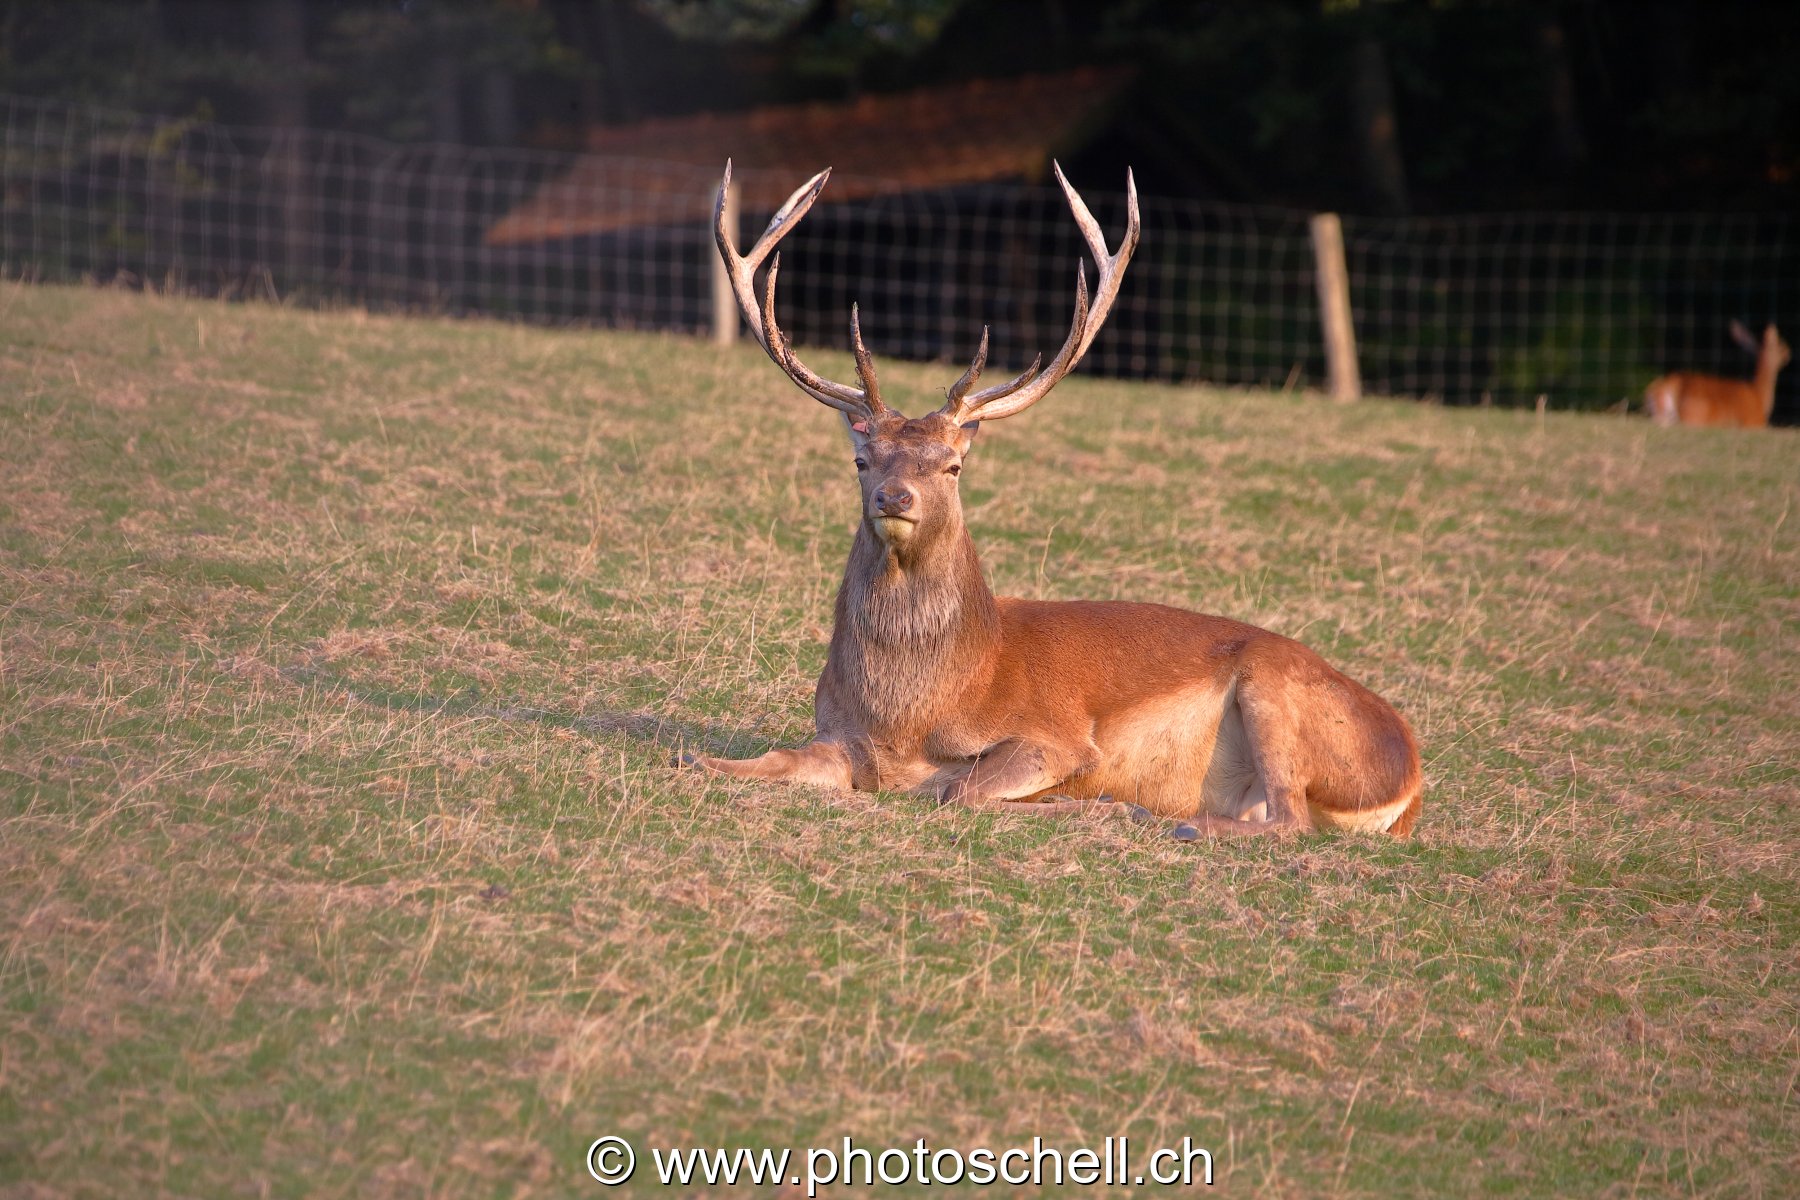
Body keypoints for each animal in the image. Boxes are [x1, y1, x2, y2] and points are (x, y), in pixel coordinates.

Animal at [677, 161, 1422, 838]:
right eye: (861, 460)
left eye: (953, 467)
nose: (895, 497)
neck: (909, 716)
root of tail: (1410, 775)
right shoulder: (836, 733)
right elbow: (776, 757)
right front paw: (699, 760)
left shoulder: (1057, 733)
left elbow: (962, 787)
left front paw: (1095, 804)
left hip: (1277, 690)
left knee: (1290, 817)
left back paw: (1176, 822)